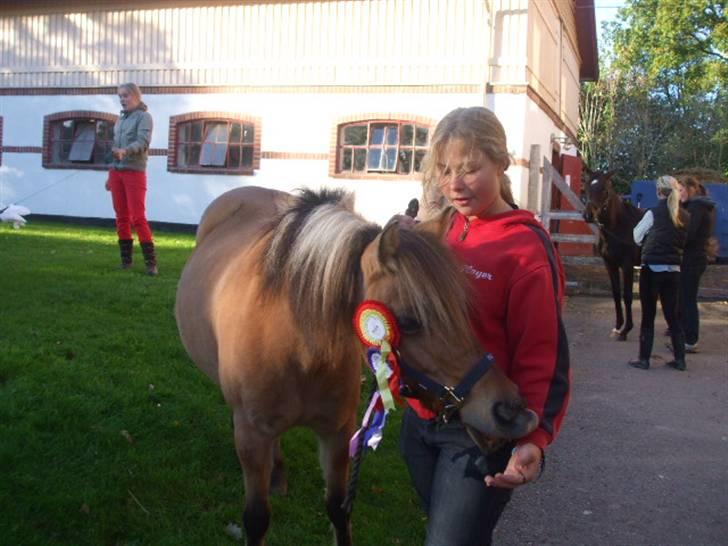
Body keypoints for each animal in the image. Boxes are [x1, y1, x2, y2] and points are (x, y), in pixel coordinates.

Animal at [176, 185, 540, 540]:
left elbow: (338, 509)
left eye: (463, 310)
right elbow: (256, 519)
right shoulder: (253, 437)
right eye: (409, 322)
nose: (510, 411)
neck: (298, 351)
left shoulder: (338, 432)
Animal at [584, 171, 644, 340]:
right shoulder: (610, 264)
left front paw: (626, 330)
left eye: (605, 190)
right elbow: (616, 294)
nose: (588, 215)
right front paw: (618, 326)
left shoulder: (628, 265)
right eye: (587, 187)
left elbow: (627, 296)